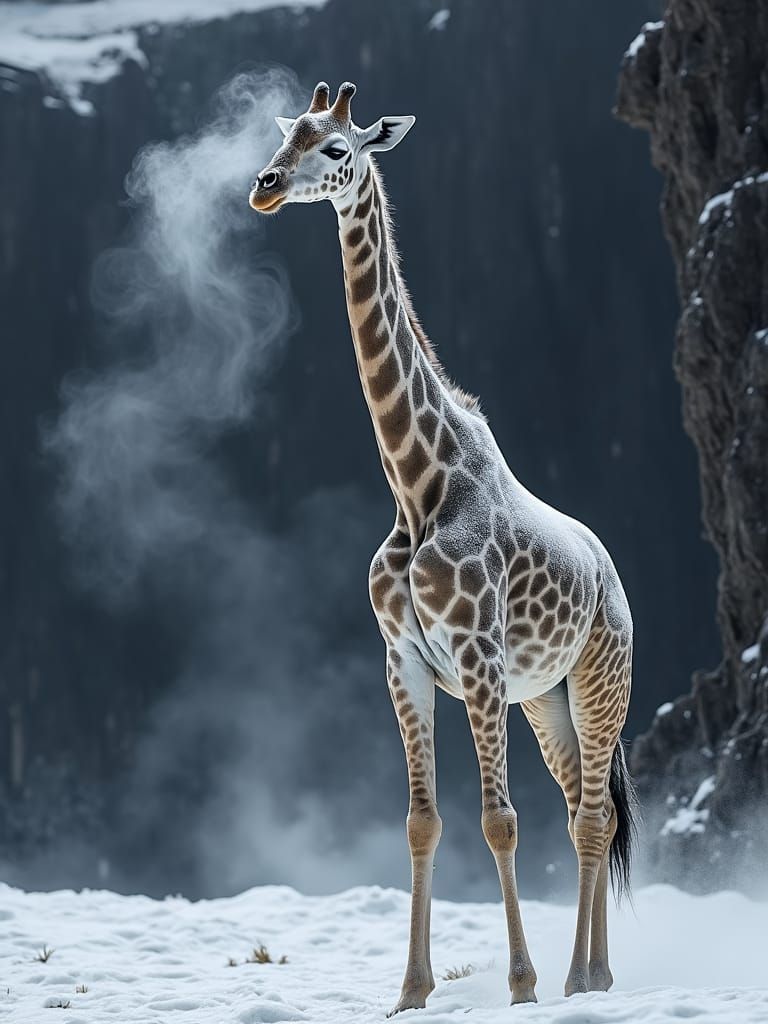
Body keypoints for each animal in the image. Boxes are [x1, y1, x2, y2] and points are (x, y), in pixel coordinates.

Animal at [249, 82, 637, 1014]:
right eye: (287, 136)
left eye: (337, 150)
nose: (266, 186)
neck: (418, 483)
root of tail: (612, 574)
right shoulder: (404, 659)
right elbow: (422, 822)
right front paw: (411, 991)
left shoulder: (479, 657)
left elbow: (500, 820)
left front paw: (521, 987)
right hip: (548, 699)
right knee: (585, 808)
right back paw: (590, 974)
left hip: (601, 677)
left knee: (592, 815)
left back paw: (581, 979)